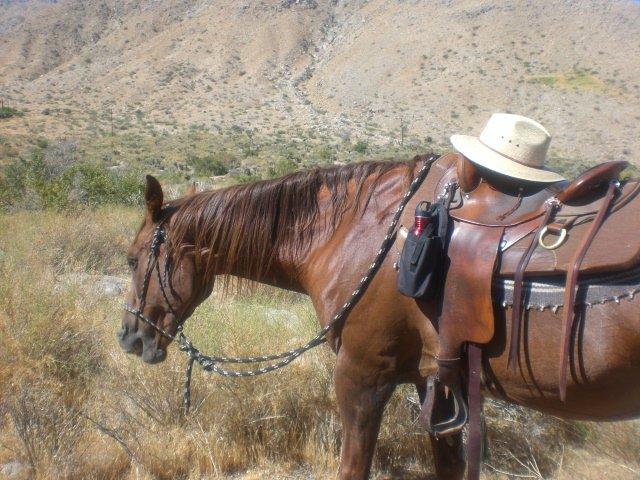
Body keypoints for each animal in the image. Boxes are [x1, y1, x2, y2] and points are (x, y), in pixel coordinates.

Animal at [118, 154, 640, 479]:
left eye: (131, 258)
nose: (129, 337)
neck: (357, 232)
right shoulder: (436, 382)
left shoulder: (363, 375)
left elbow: (353, 467)